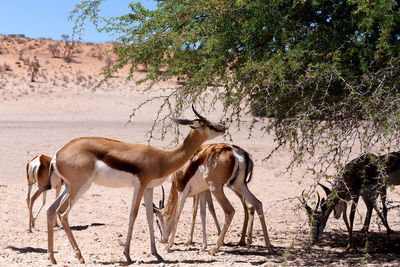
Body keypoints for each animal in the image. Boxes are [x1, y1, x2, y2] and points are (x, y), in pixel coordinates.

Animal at [45, 107, 227, 266]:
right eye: (208, 125)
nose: (223, 127)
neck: (163, 159)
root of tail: (57, 154)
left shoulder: (149, 187)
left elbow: (149, 216)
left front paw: (157, 254)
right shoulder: (140, 184)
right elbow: (133, 214)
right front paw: (127, 255)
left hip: (68, 187)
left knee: (51, 210)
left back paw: (53, 258)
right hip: (80, 187)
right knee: (63, 214)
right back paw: (80, 257)